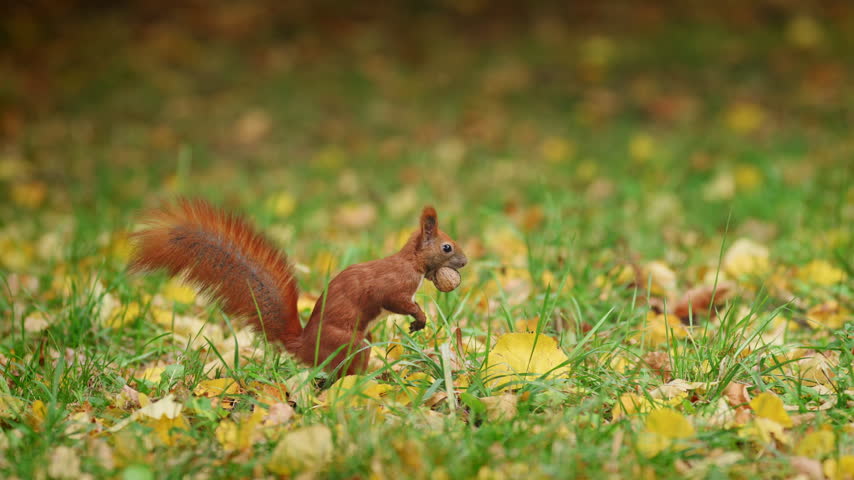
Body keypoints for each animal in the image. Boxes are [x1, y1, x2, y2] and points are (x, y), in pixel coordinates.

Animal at [128, 198, 467, 375]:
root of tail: (305, 346)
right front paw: (419, 317)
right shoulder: (394, 285)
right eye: (447, 247)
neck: (412, 263)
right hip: (350, 343)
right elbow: (398, 301)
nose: (464, 262)